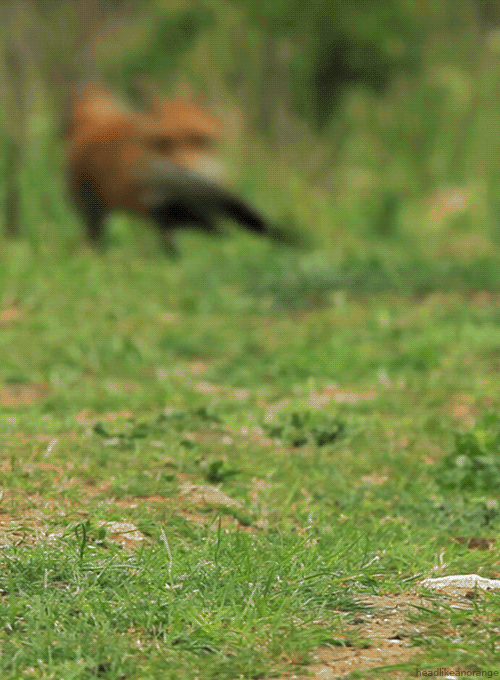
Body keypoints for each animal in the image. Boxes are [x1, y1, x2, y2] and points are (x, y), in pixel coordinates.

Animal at [65, 83, 300, 255]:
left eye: (198, 139)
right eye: (164, 142)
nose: (183, 170)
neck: (185, 189)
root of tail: (93, 123)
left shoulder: (219, 195)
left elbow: (260, 223)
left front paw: (294, 242)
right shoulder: (159, 206)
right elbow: (209, 225)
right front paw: (226, 238)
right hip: (96, 213)